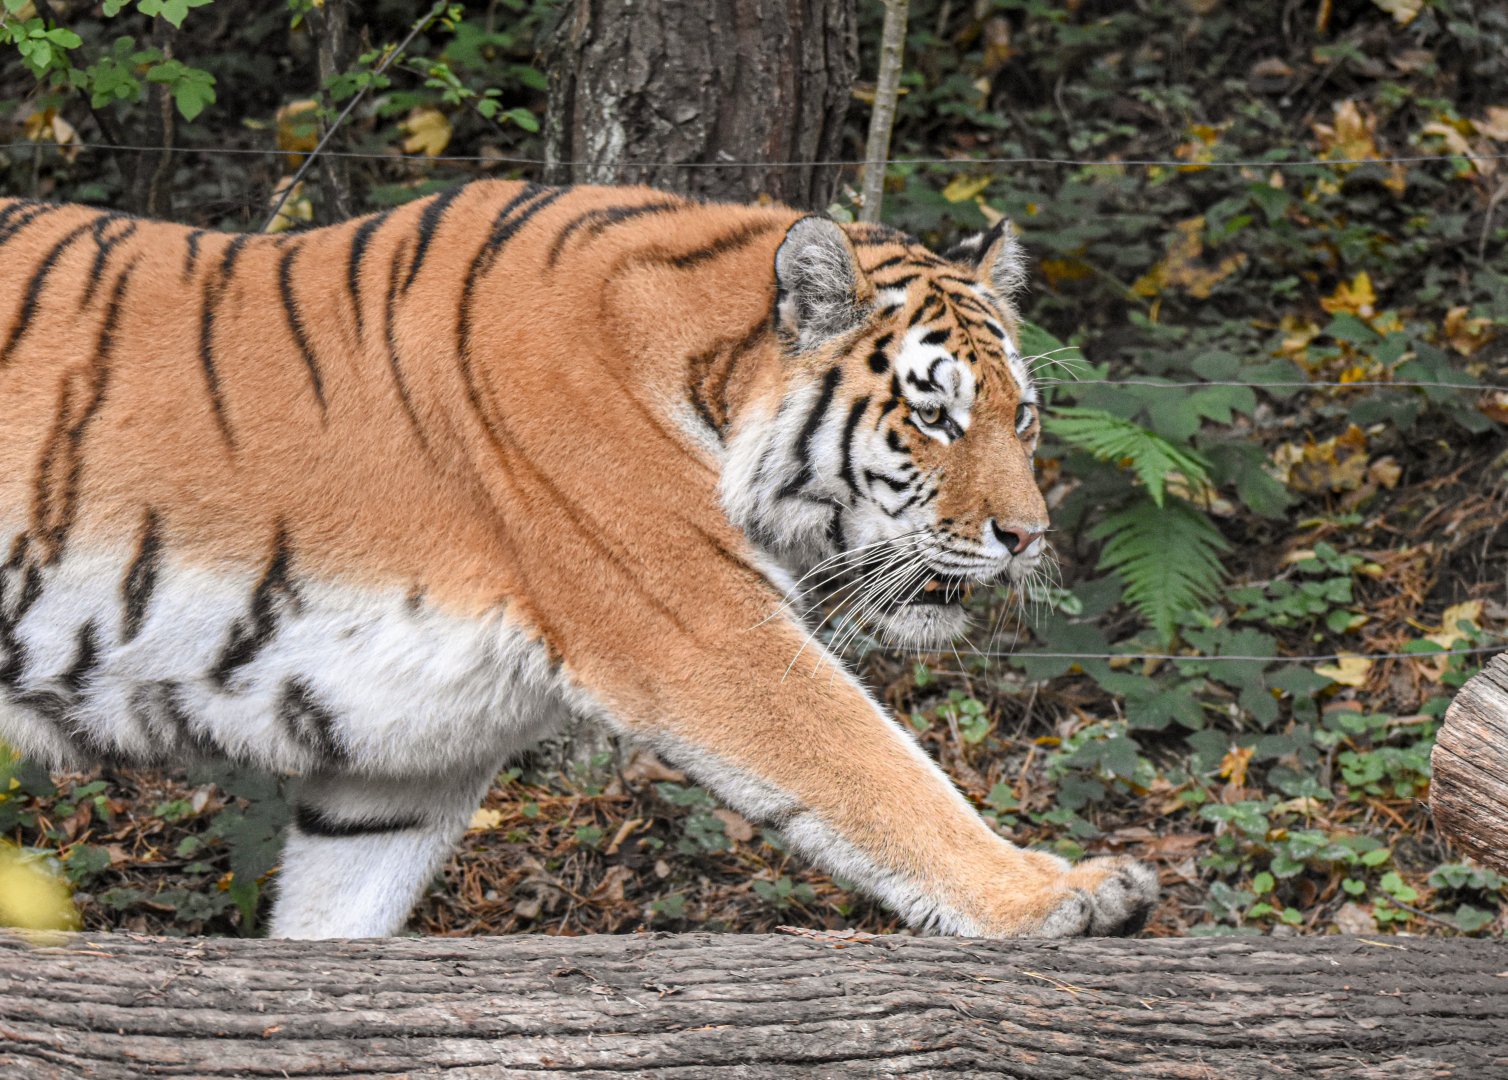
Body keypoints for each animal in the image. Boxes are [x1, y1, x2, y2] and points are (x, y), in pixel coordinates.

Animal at [0, 181, 1157, 939]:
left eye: (1023, 415)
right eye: (932, 415)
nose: (1027, 538)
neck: (707, 380)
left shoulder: (405, 755)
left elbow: (336, 915)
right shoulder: (704, 632)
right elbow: (879, 775)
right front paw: (1054, 894)